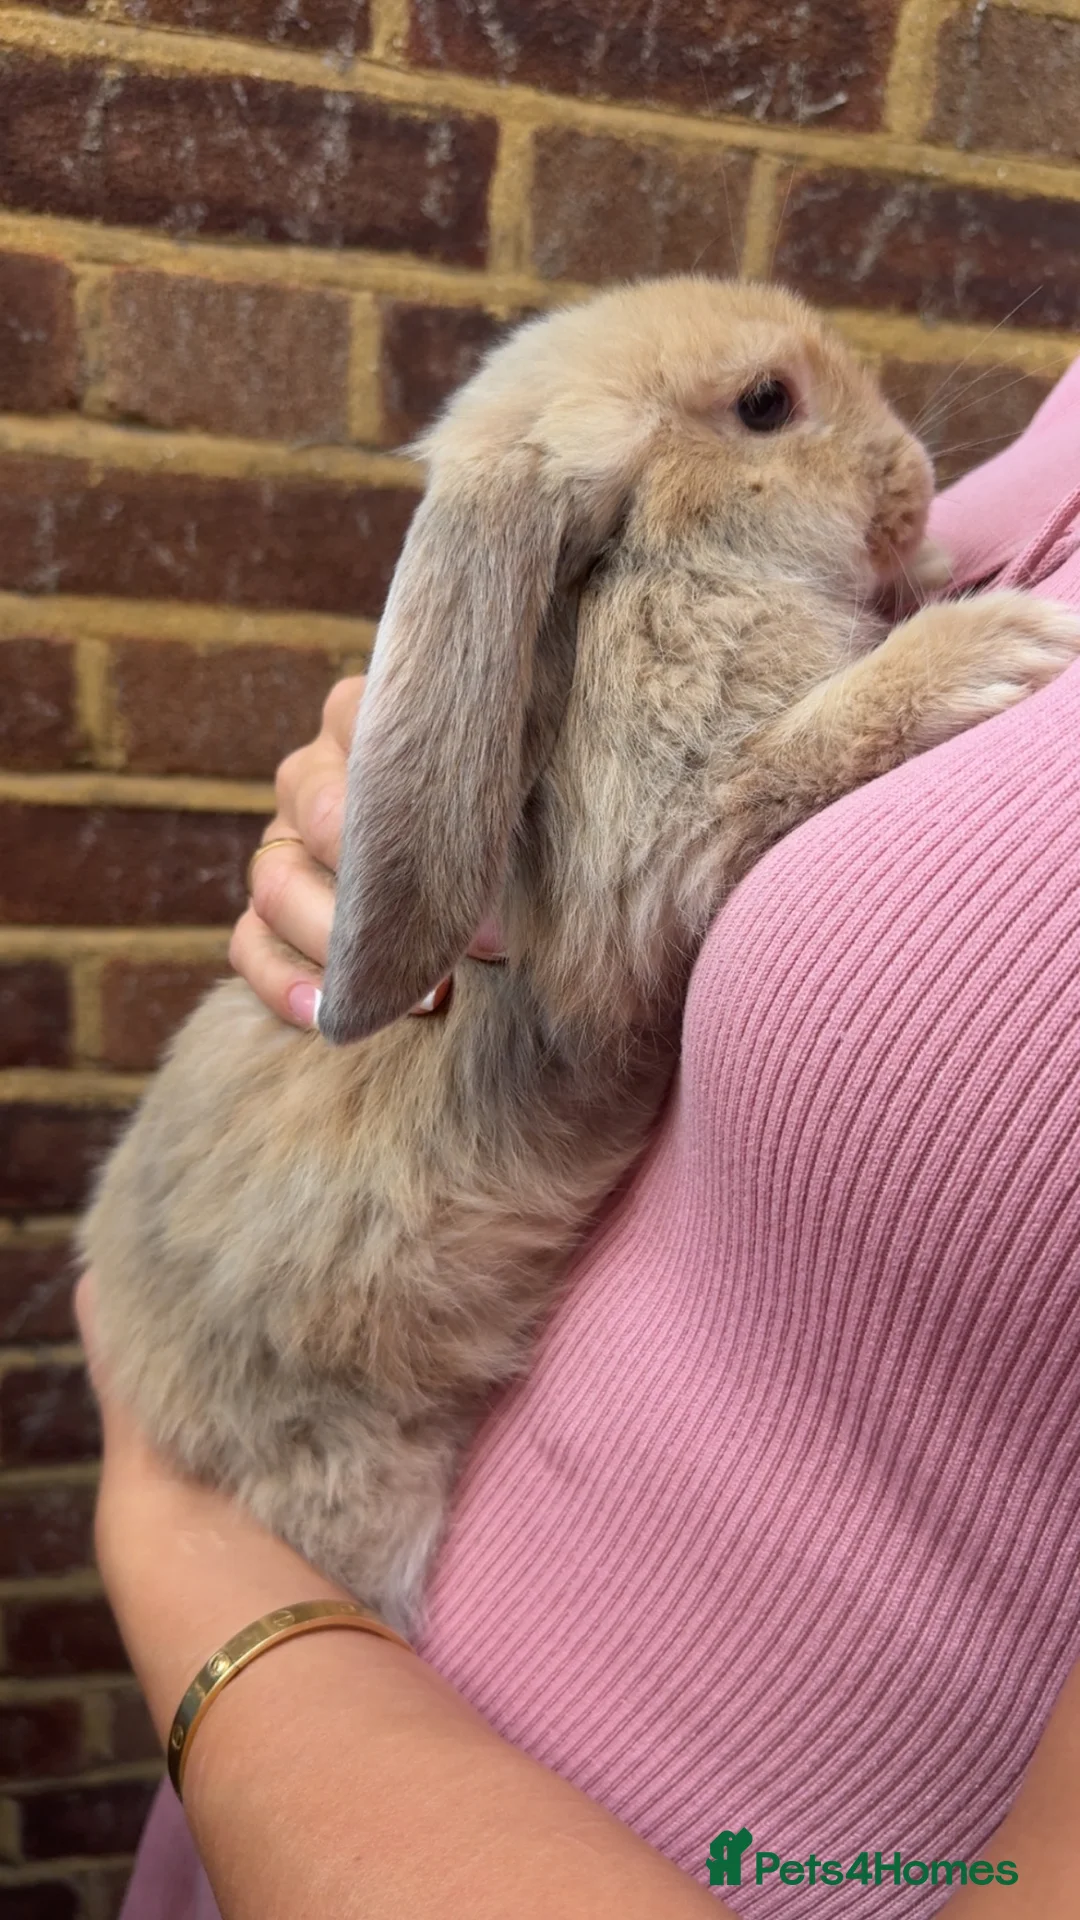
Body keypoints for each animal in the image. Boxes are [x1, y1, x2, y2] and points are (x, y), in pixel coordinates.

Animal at [81, 277, 1080, 1635]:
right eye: (765, 404)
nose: (914, 484)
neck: (663, 565)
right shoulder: (676, 840)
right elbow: (811, 745)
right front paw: (1000, 641)